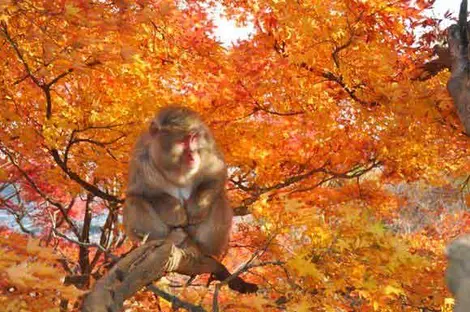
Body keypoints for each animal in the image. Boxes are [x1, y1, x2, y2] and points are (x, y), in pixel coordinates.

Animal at [123, 106, 233, 258]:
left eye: (193, 138)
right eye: (182, 142)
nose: (192, 154)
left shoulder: (206, 148)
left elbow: (215, 175)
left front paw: (195, 209)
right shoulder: (141, 157)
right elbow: (142, 192)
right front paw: (175, 213)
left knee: (219, 197)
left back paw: (201, 248)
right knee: (134, 201)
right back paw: (169, 239)